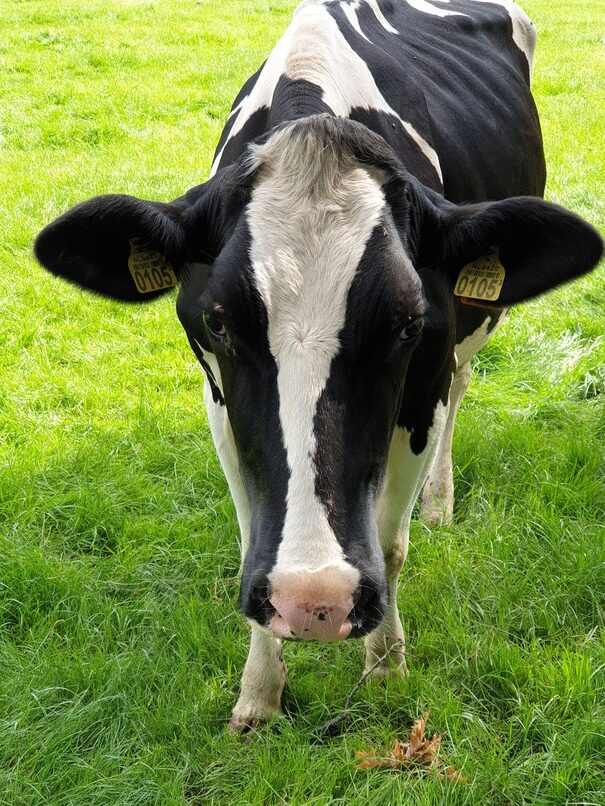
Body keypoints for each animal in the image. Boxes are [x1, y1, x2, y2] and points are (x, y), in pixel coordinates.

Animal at [35, 0, 603, 731]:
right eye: (218, 321)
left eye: (406, 323)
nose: (312, 602)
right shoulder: (218, 395)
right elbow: (253, 533)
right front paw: (257, 696)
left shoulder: (423, 377)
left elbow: (387, 542)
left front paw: (385, 669)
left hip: (477, 324)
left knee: (462, 381)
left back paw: (439, 503)